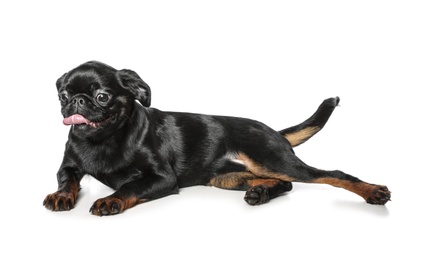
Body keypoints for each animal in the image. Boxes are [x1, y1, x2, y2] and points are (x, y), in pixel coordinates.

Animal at [44, 60, 392, 215]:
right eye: (63, 95)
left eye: (101, 96)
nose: (76, 101)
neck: (103, 140)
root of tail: (273, 131)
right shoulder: (68, 167)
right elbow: (67, 180)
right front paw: (62, 195)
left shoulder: (161, 178)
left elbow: (130, 186)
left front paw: (110, 199)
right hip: (227, 177)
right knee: (282, 184)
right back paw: (260, 193)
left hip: (274, 160)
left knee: (332, 174)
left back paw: (373, 192)